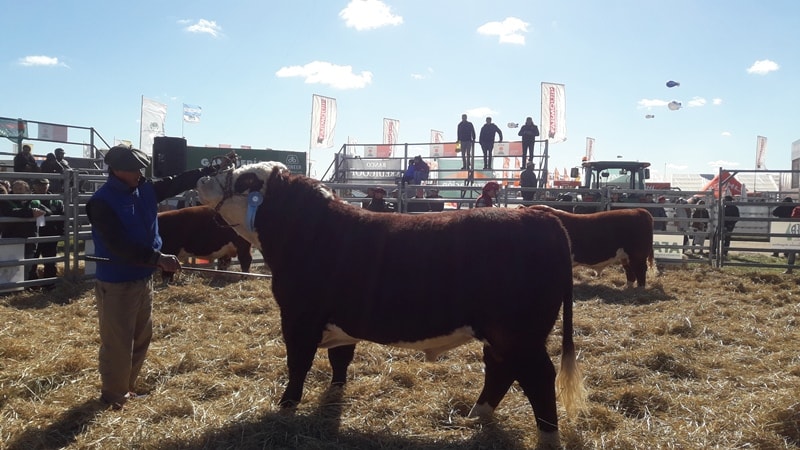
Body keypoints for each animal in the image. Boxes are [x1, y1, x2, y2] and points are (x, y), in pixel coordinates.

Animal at [196, 163, 588, 446]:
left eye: (247, 179)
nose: (202, 176)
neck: (313, 232)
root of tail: (540, 215)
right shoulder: (340, 321)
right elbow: (340, 359)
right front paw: (333, 395)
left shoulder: (299, 318)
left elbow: (298, 366)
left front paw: (286, 408)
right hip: (501, 334)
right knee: (501, 369)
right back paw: (476, 415)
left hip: (519, 334)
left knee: (537, 377)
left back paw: (547, 437)